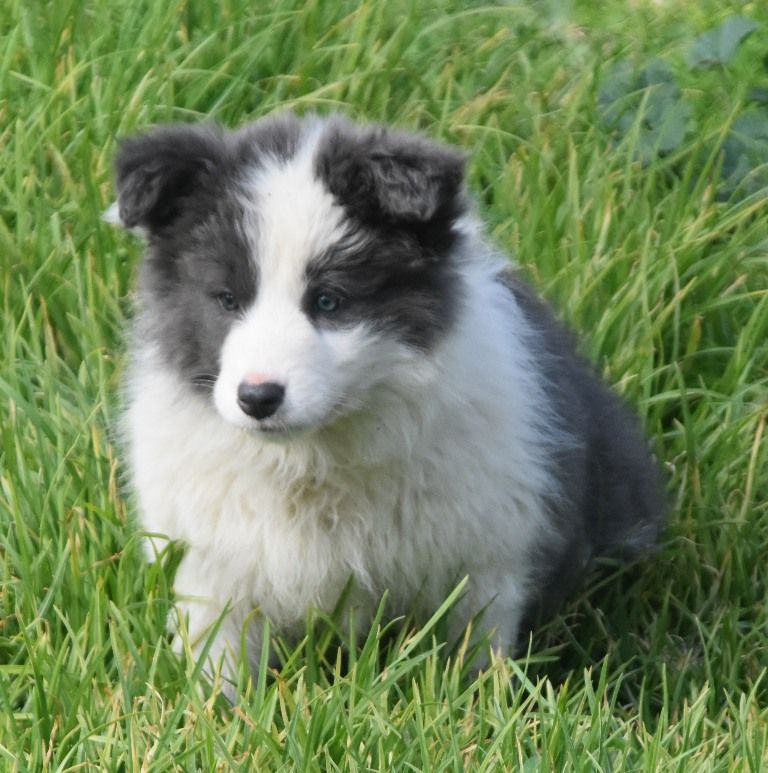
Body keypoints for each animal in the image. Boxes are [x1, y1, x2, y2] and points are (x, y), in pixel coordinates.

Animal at [108, 112, 665, 684]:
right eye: (226, 299)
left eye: (329, 301)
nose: (258, 397)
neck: (312, 460)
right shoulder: (210, 561)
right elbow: (217, 655)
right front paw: (207, 703)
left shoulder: (488, 551)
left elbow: (474, 644)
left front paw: (476, 699)